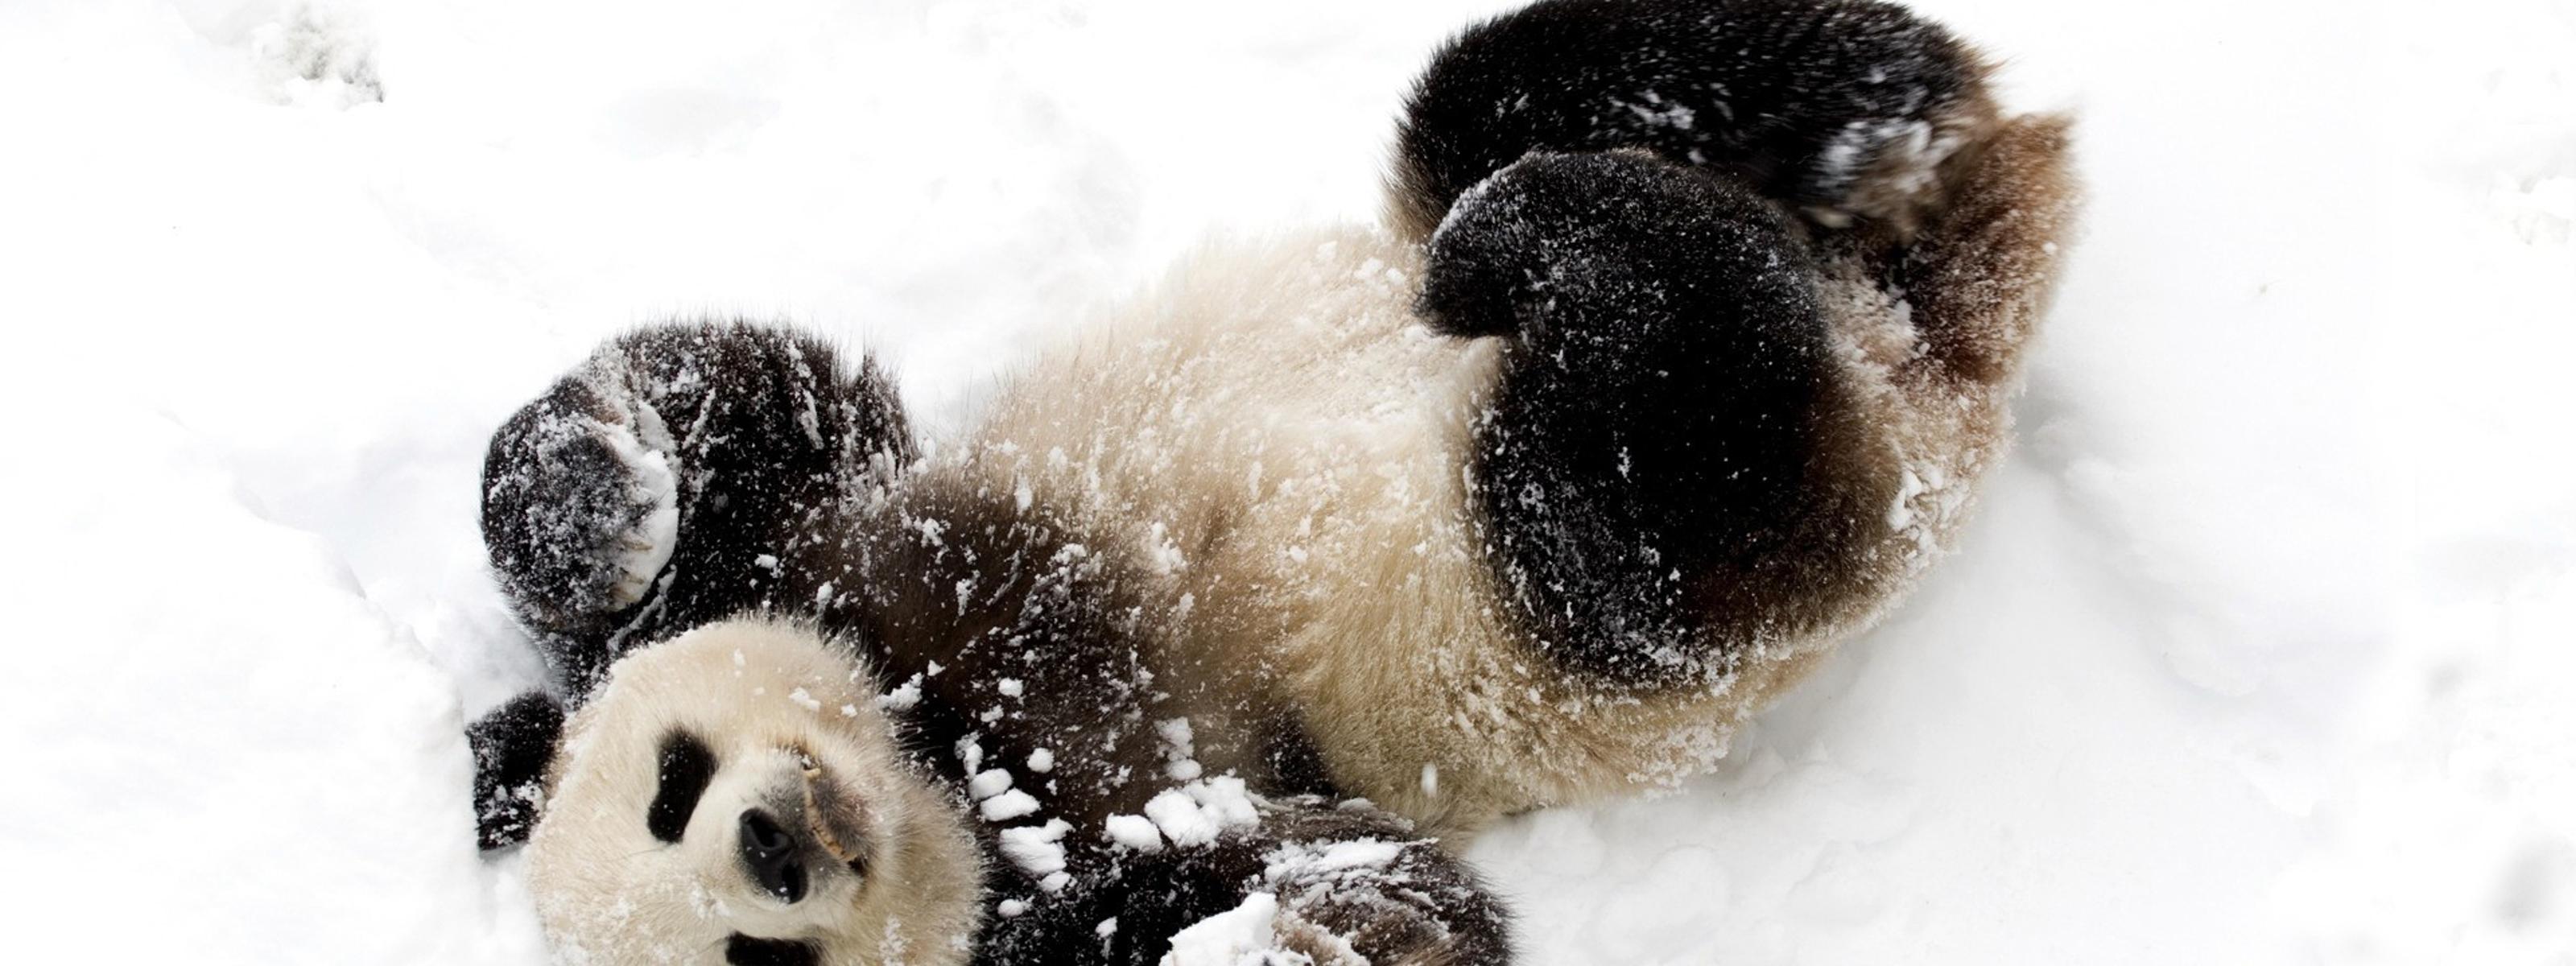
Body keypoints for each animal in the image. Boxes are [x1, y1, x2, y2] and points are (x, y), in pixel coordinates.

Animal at [463, 0, 2077, 963]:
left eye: (671, 786)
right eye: (752, 951)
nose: (775, 845)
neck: (945, 748)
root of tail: (1923, 335)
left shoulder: (824, 541)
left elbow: (748, 403)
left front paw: (599, 505)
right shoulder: (1128, 843)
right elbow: (1378, 907)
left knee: (1502, 108)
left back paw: (1826, 117)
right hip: (1570, 608)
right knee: (1666, 493)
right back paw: (1602, 243)